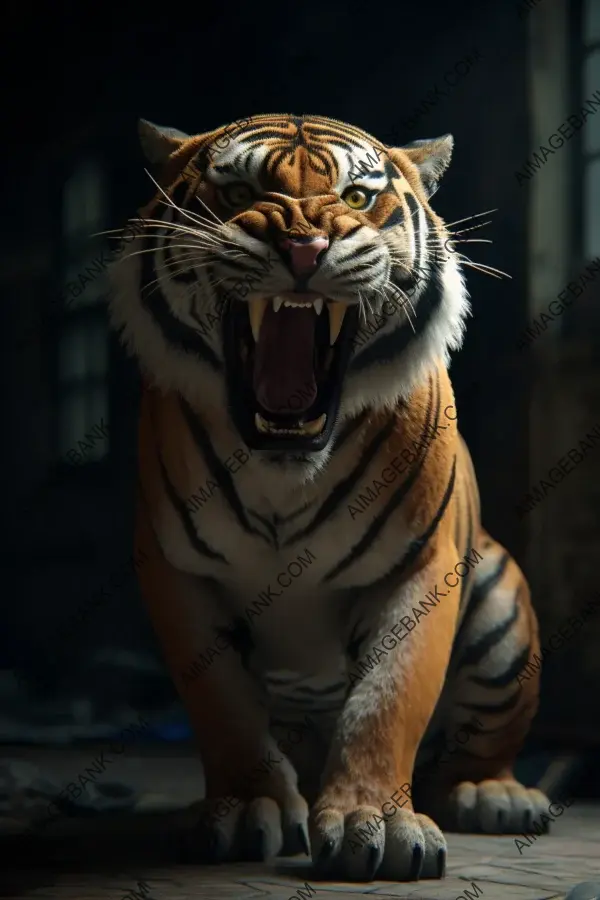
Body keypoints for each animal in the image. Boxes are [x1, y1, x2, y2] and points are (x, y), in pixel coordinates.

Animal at [108, 114, 548, 884]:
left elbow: (388, 699)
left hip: (502, 612)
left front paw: (376, 823)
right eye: (239, 190)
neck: (285, 465)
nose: (304, 248)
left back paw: (494, 796)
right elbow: (221, 703)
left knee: (475, 749)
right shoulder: (176, 573)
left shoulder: (421, 570)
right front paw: (246, 810)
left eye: (356, 194)